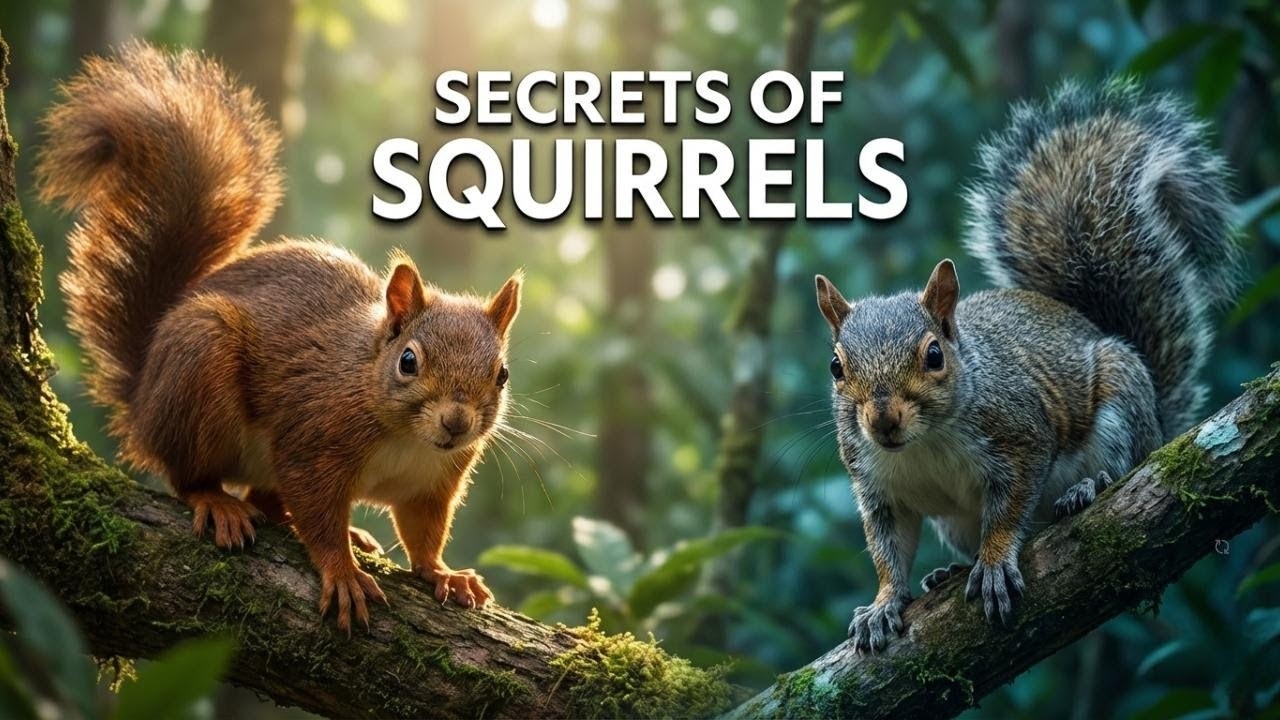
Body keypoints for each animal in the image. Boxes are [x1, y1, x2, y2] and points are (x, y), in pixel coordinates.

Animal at [36, 43, 523, 633]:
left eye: (501, 374)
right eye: (408, 361)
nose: (456, 423)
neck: (405, 435)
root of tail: (144, 393)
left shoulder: (435, 481)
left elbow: (424, 532)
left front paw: (443, 573)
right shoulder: (312, 439)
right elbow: (316, 509)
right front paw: (341, 571)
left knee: (268, 499)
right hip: (199, 366)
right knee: (187, 474)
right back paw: (218, 502)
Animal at [814, 79, 1238, 653]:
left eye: (934, 355)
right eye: (836, 367)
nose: (882, 421)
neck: (926, 441)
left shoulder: (1019, 435)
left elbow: (1010, 510)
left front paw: (994, 563)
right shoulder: (876, 487)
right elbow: (888, 550)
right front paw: (882, 604)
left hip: (1121, 403)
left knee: (1122, 463)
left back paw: (1089, 488)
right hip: (955, 523)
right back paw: (946, 573)